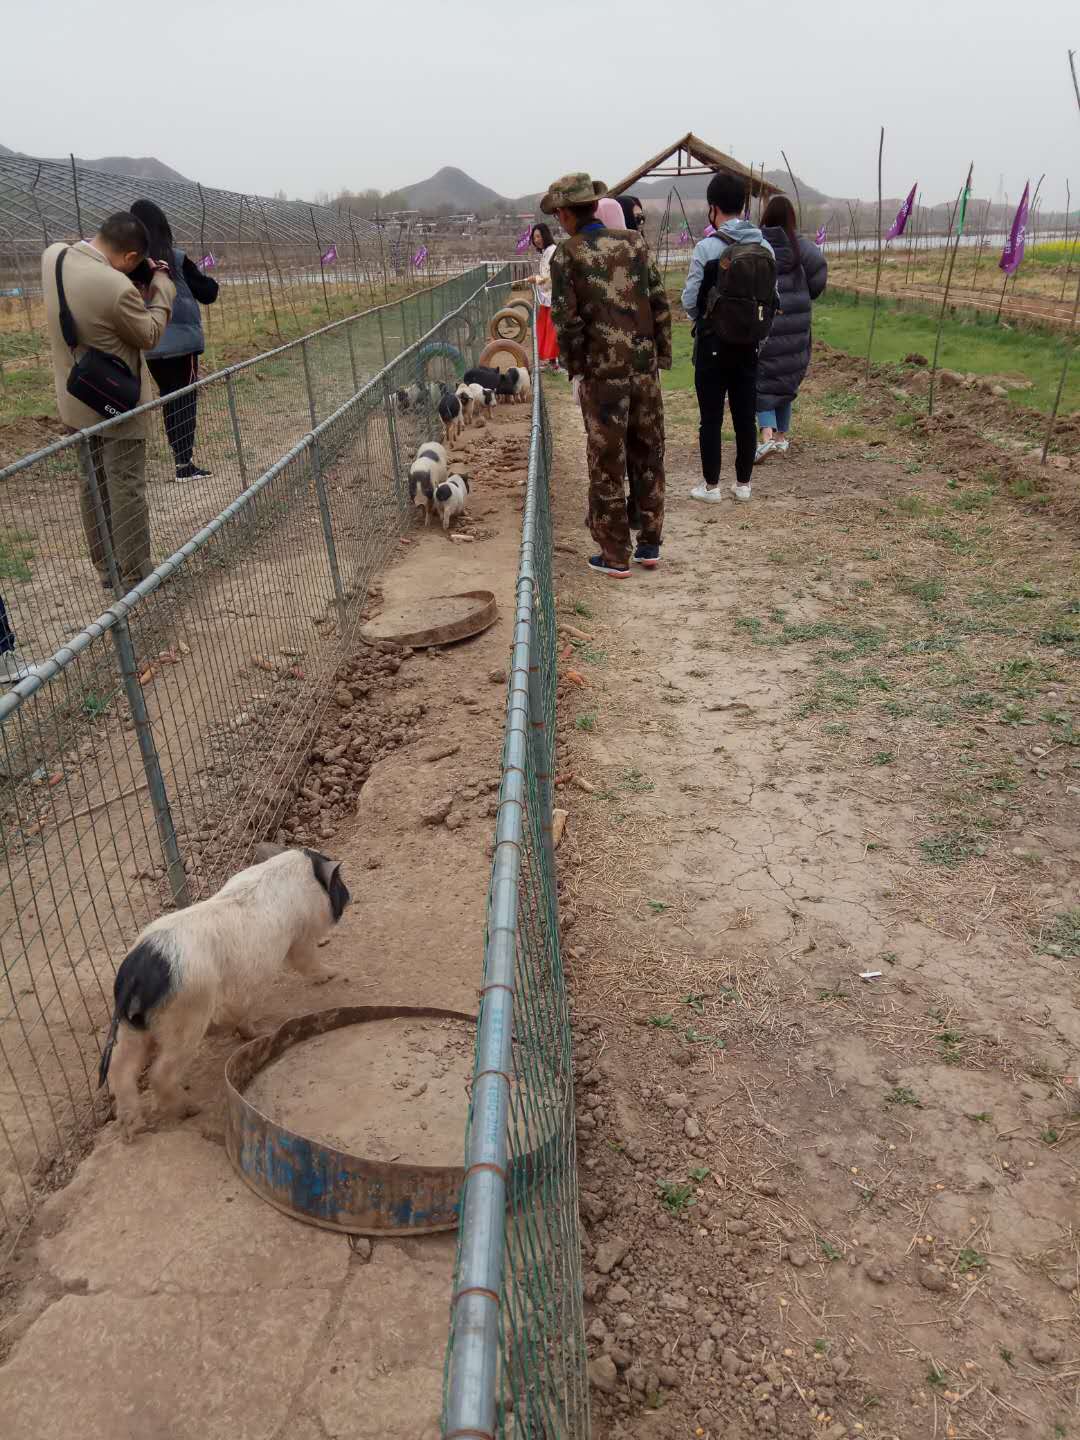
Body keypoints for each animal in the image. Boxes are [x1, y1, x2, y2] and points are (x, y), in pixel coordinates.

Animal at [98, 846, 350, 1141]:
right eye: (338, 882)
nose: (350, 895)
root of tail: (137, 972)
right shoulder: (301, 936)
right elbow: (306, 959)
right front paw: (335, 974)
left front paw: (256, 1033)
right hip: (186, 1017)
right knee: (160, 1073)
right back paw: (191, 1109)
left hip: (130, 1028)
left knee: (120, 1069)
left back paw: (132, 1129)